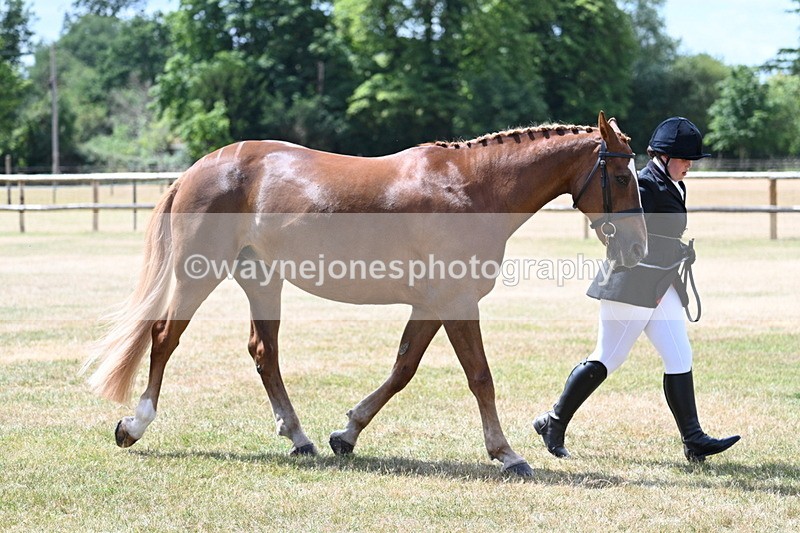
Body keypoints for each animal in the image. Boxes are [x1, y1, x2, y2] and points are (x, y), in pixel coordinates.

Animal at [82, 111, 646, 477]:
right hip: (198, 273)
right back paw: (135, 424)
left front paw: (346, 433)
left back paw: (300, 438)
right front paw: (507, 454)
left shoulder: (432, 305)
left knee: (264, 352)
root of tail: (198, 169)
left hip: (261, 280)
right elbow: (480, 377)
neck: (472, 188)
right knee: (164, 337)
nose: (640, 244)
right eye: (622, 175)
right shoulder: (457, 302)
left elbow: (402, 369)